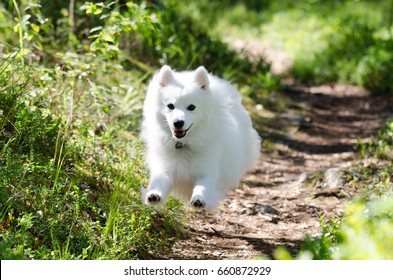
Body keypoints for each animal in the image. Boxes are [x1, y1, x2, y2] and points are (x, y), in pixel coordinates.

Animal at [141, 65, 260, 210]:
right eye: (170, 106)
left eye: (191, 107)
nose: (178, 123)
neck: (183, 144)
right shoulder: (165, 168)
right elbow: (159, 183)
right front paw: (153, 195)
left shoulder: (207, 171)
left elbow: (203, 187)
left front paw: (199, 199)